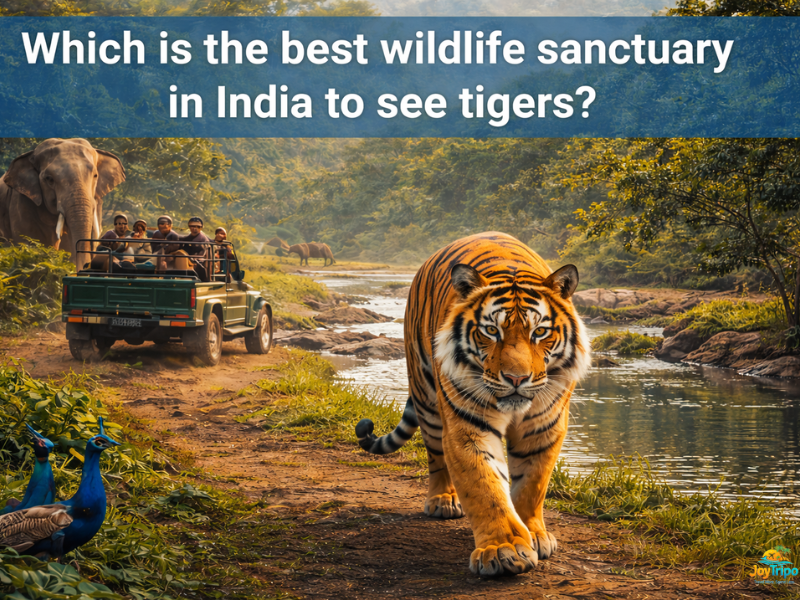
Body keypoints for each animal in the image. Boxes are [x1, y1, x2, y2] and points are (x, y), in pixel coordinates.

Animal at [355, 232, 590, 577]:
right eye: (491, 331)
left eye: (540, 331)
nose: (517, 378)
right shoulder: (468, 425)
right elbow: (485, 487)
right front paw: (504, 549)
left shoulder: (543, 426)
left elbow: (532, 485)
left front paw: (534, 534)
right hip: (426, 399)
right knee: (436, 455)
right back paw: (443, 500)